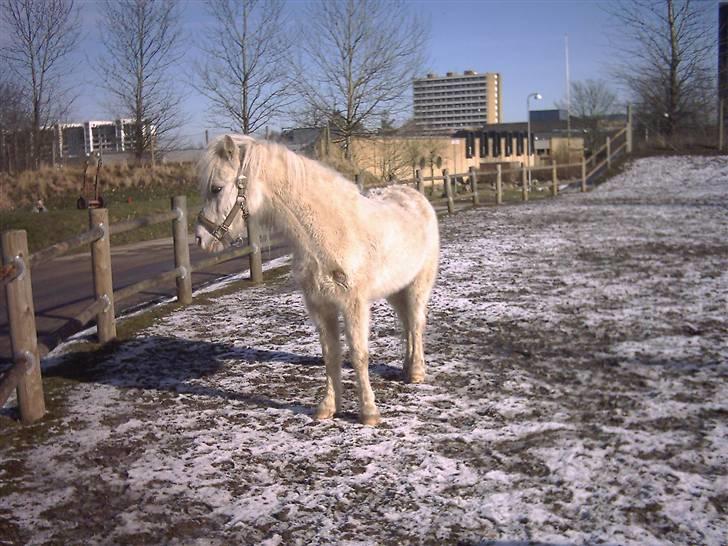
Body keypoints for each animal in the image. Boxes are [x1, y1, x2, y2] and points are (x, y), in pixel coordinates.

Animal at [195, 134, 439, 426]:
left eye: (217, 188)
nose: (200, 239)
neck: (331, 233)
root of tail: (415, 196)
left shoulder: (354, 305)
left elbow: (359, 354)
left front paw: (368, 412)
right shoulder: (320, 306)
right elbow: (330, 354)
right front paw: (327, 407)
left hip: (418, 286)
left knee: (416, 323)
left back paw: (416, 372)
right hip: (396, 289)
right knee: (407, 324)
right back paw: (406, 367)